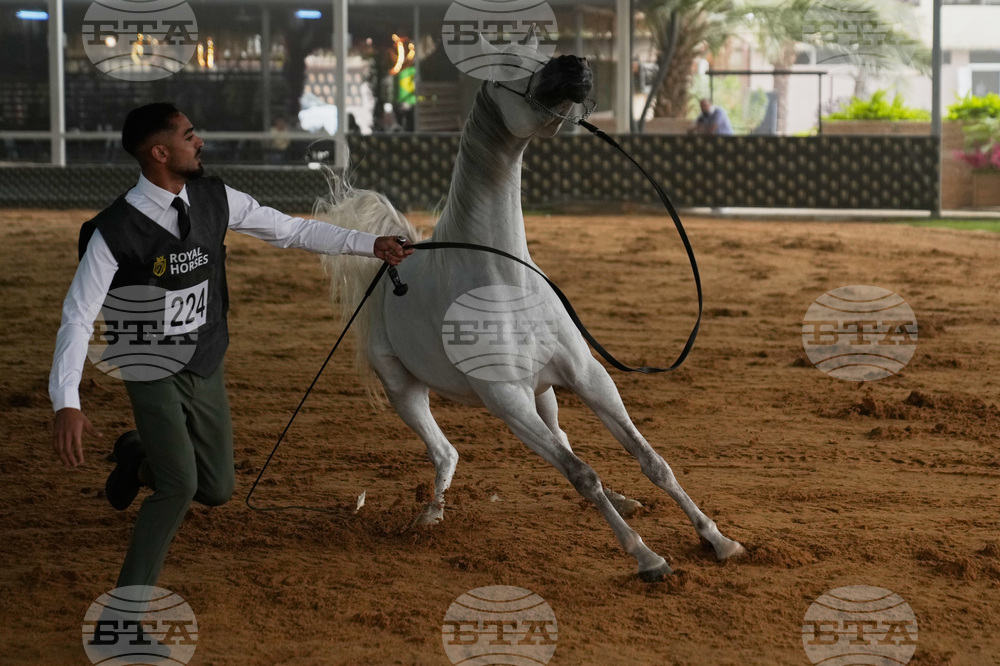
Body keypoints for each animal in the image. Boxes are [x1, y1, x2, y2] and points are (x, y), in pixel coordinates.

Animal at [317, 35, 745, 581]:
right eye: (504, 60)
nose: (577, 64)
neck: (505, 282)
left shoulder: (588, 376)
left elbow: (652, 460)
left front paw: (717, 538)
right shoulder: (508, 401)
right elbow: (581, 474)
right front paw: (647, 557)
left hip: (548, 393)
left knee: (557, 435)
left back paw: (623, 500)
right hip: (405, 391)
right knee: (445, 451)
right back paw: (430, 515)